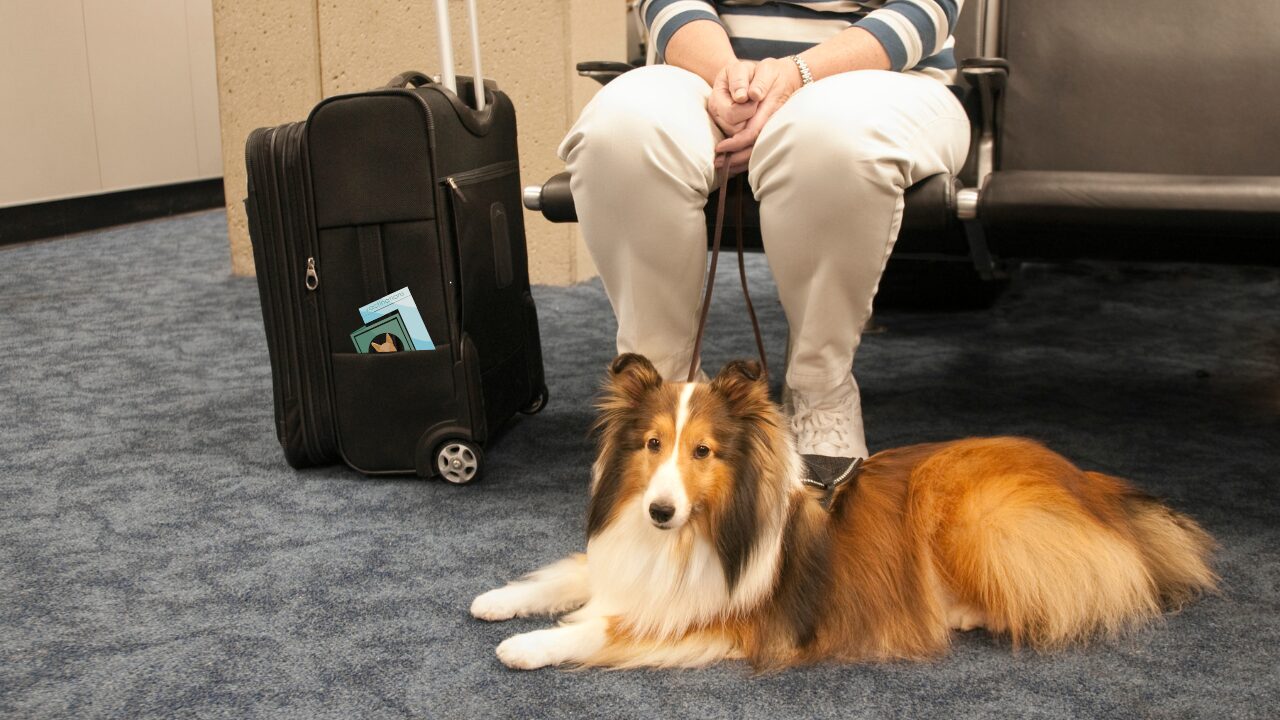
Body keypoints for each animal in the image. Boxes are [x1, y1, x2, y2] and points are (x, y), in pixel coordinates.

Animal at [473, 353, 1218, 666]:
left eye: (704, 451)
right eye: (653, 445)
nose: (660, 511)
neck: (694, 534)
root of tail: (1091, 484)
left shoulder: (720, 617)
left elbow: (602, 628)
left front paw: (527, 645)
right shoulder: (624, 562)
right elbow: (568, 575)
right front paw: (496, 601)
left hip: (971, 513)